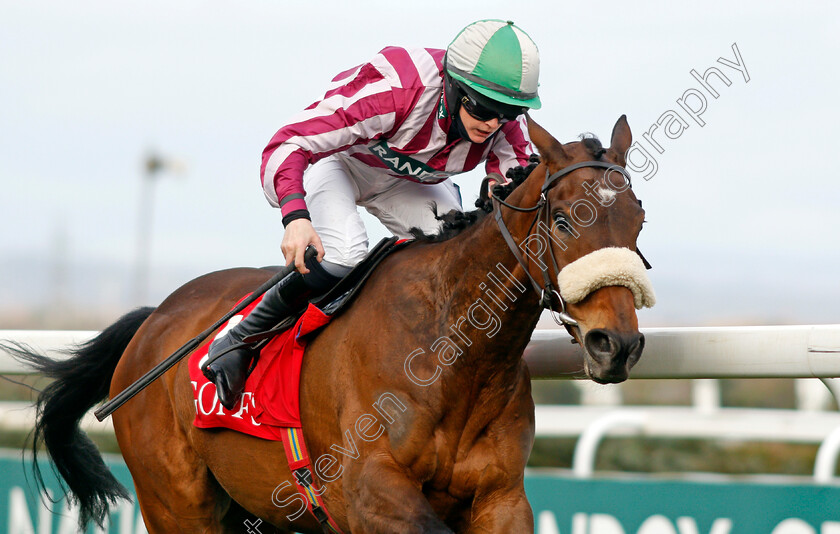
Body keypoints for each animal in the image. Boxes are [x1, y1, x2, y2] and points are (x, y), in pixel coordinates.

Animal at [14, 117, 656, 534]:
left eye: (639, 219)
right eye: (566, 218)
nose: (616, 344)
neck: (452, 351)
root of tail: (155, 319)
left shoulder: (501, 499)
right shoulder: (370, 494)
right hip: (176, 504)